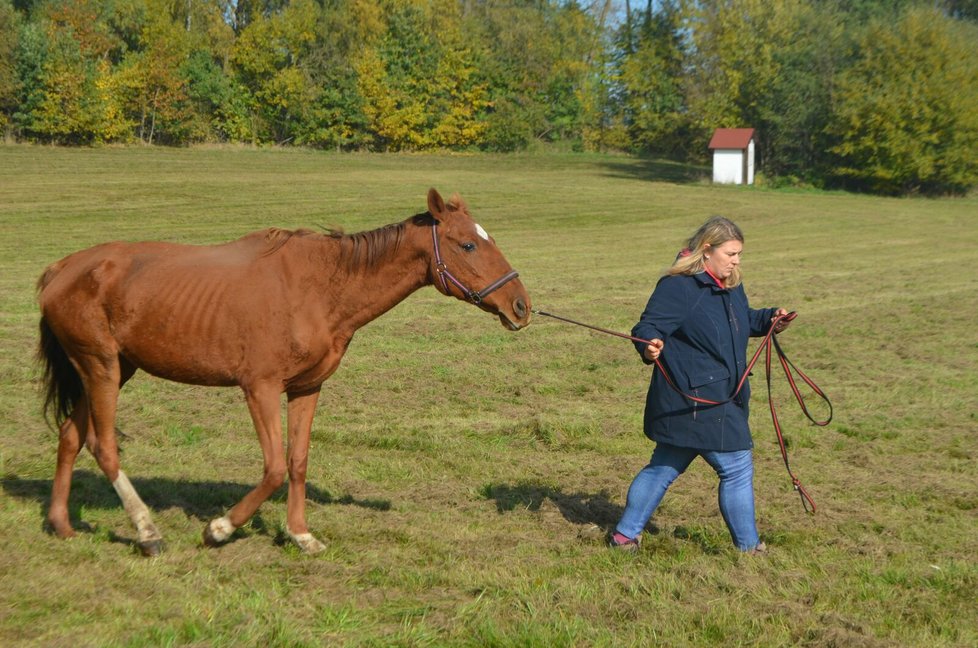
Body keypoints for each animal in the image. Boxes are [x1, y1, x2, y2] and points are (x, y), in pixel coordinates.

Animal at [36, 189, 528, 556]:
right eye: (468, 244)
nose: (520, 305)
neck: (321, 288)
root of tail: (62, 268)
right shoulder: (260, 388)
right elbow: (273, 468)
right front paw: (220, 528)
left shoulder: (307, 388)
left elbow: (297, 461)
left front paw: (299, 534)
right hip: (100, 368)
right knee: (103, 445)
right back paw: (147, 532)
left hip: (112, 370)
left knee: (70, 435)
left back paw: (62, 525)